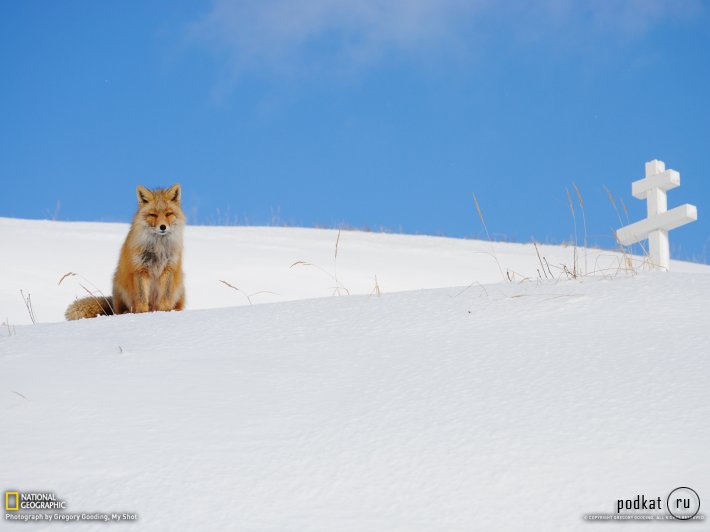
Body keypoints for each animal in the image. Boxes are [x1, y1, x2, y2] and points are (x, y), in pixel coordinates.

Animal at [65, 183, 186, 320]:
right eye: (153, 215)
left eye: (168, 213)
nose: (163, 227)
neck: (158, 248)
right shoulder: (140, 269)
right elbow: (141, 300)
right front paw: (143, 314)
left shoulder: (169, 268)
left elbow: (165, 298)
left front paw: (166, 313)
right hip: (118, 285)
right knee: (121, 310)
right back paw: (126, 313)